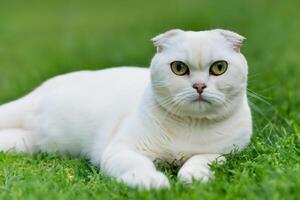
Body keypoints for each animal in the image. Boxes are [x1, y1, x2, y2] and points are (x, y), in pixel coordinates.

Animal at [0, 28, 252, 189]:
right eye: (179, 68)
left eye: (219, 68)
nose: (199, 86)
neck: (191, 127)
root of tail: (42, 89)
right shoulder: (122, 150)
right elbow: (139, 165)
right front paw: (152, 183)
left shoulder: (224, 153)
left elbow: (199, 161)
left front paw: (194, 178)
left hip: (24, 142)